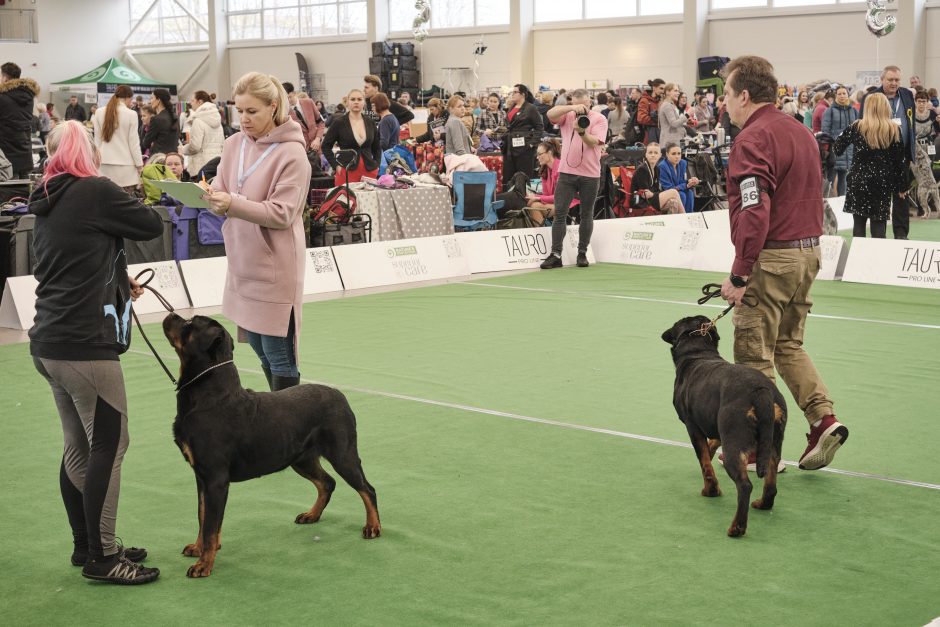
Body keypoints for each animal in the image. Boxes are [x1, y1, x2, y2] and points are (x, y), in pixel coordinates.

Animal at [163, 314, 380, 580]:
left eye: (189, 324)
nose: (171, 315)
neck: (208, 396)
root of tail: (339, 394)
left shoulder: (215, 479)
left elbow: (211, 526)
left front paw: (203, 564)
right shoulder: (201, 476)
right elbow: (203, 516)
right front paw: (197, 547)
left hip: (342, 453)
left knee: (367, 489)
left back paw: (372, 526)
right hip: (302, 458)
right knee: (327, 483)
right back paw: (312, 515)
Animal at [660, 316, 784, 536]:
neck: (698, 353)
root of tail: (761, 390)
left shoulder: (692, 426)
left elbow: (705, 464)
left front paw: (711, 491)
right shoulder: (714, 423)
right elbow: (709, 448)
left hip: (733, 443)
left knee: (744, 486)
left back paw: (737, 527)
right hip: (773, 442)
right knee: (770, 483)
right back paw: (763, 504)